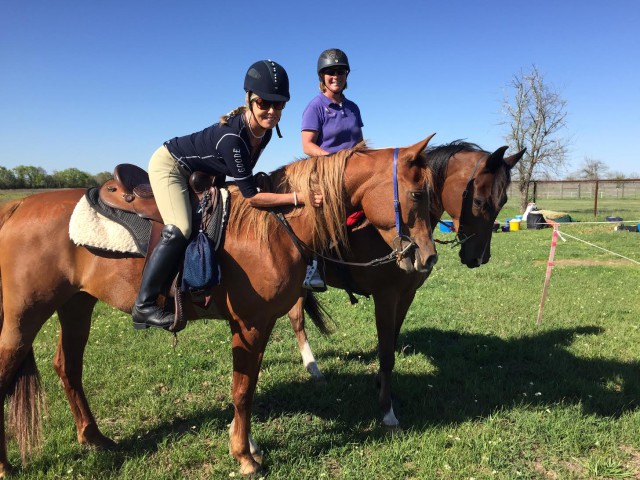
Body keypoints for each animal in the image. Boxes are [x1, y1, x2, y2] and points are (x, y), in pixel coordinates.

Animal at [0, 135, 438, 476]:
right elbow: (243, 391)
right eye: (417, 194)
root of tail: (18, 207)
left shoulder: (256, 323)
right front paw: (245, 457)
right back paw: (8, 466)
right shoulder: (250, 323)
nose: (427, 258)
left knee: (68, 367)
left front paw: (246, 445)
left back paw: (94, 437)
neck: (273, 226)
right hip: (24, 317)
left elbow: (247, 386)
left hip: (76, 305)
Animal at [288, 140, 524, 428]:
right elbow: (387, 352)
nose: (479, 257)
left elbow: (391, 343)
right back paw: (313, 368)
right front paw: (387, 410)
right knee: (297, 319)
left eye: (502, 202)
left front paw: (381, 384)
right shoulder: (385, 297)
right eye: (479, 201)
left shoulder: (406, 295)